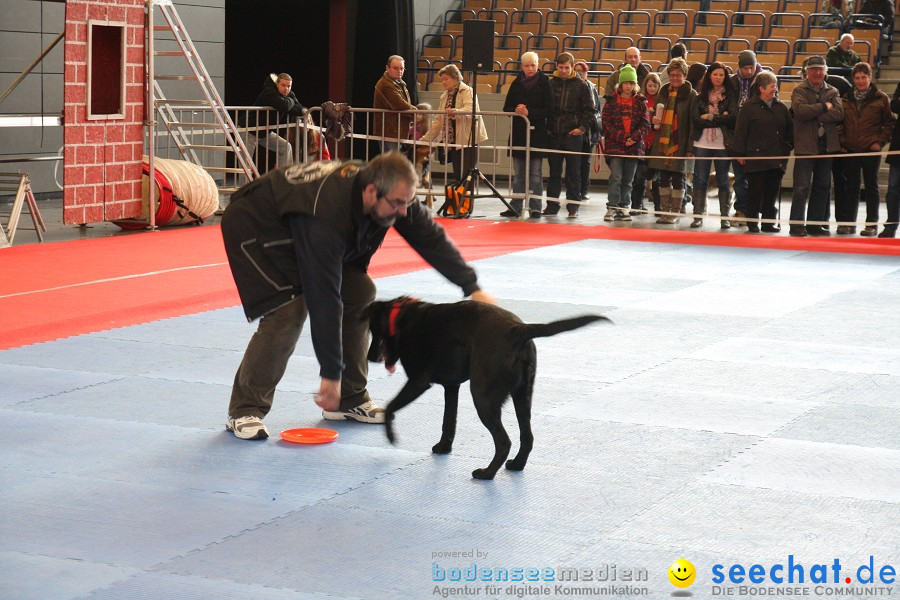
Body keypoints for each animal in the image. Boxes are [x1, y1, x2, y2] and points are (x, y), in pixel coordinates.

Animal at [368, 298, 612, 480]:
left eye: (372, 330)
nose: (370, 357)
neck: (402, 318)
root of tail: (517, 329)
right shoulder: (452, 386)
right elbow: (449, 422)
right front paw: (444, 447)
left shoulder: (419, 381)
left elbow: (390, 407)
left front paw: (391, 436)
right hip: (522, 396)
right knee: (527, 437)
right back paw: (516, 465)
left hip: (482, 396)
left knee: (504, 441)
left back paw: (487, 473)